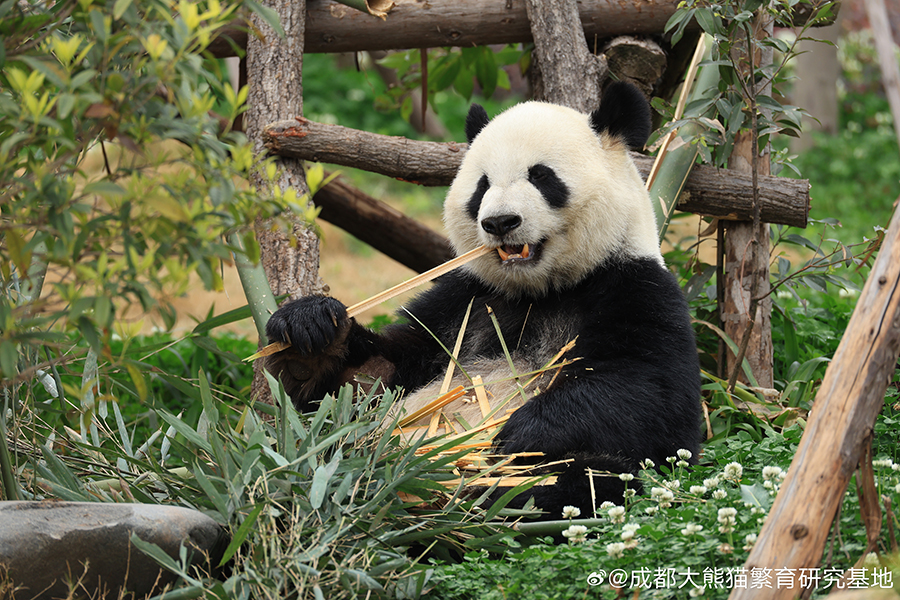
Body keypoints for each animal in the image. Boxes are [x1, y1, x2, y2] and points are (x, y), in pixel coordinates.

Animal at [266, 82, 704, 516]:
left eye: (541, 176)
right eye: (483, 185)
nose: (500, 222)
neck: (540, 291)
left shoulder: (636, 289)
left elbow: (650, 395)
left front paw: (519, 433)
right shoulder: (464, 300)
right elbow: (370, 381)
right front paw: (311, 339)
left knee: (588, 479)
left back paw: (483, 497)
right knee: (322, 448)